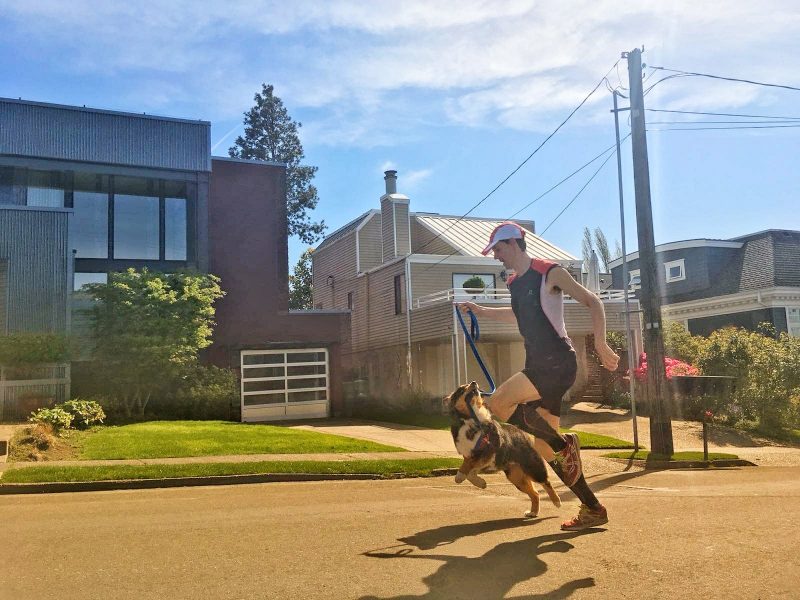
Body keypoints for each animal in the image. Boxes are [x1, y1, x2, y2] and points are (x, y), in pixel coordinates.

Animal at [444, 382, 564, 516]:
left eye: (468, 384)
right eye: (461, 389)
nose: (474, 382)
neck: (471, 420)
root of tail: (523, 433)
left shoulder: (487, 452)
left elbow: (464, 472)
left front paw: (463, 477)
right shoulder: (472, 456)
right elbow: (469, 471)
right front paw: (481, 483)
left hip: (532, 467)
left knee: (545, 482)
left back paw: (556, 501)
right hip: (516, 477)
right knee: (535, 493)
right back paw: (533, 512)